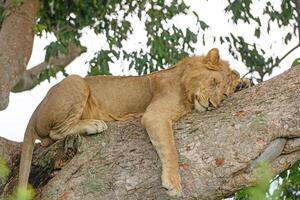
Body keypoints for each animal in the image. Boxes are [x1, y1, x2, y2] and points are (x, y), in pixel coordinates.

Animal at [19, 47, 248, 196]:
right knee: (54, 133)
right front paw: (173, 183)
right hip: (76, 82)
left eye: (224, 94)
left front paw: (243, 83)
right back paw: (93, 124)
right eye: (214, 81)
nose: (211, 104)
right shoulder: (155, 115)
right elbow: (171, 150)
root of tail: (36, 110)